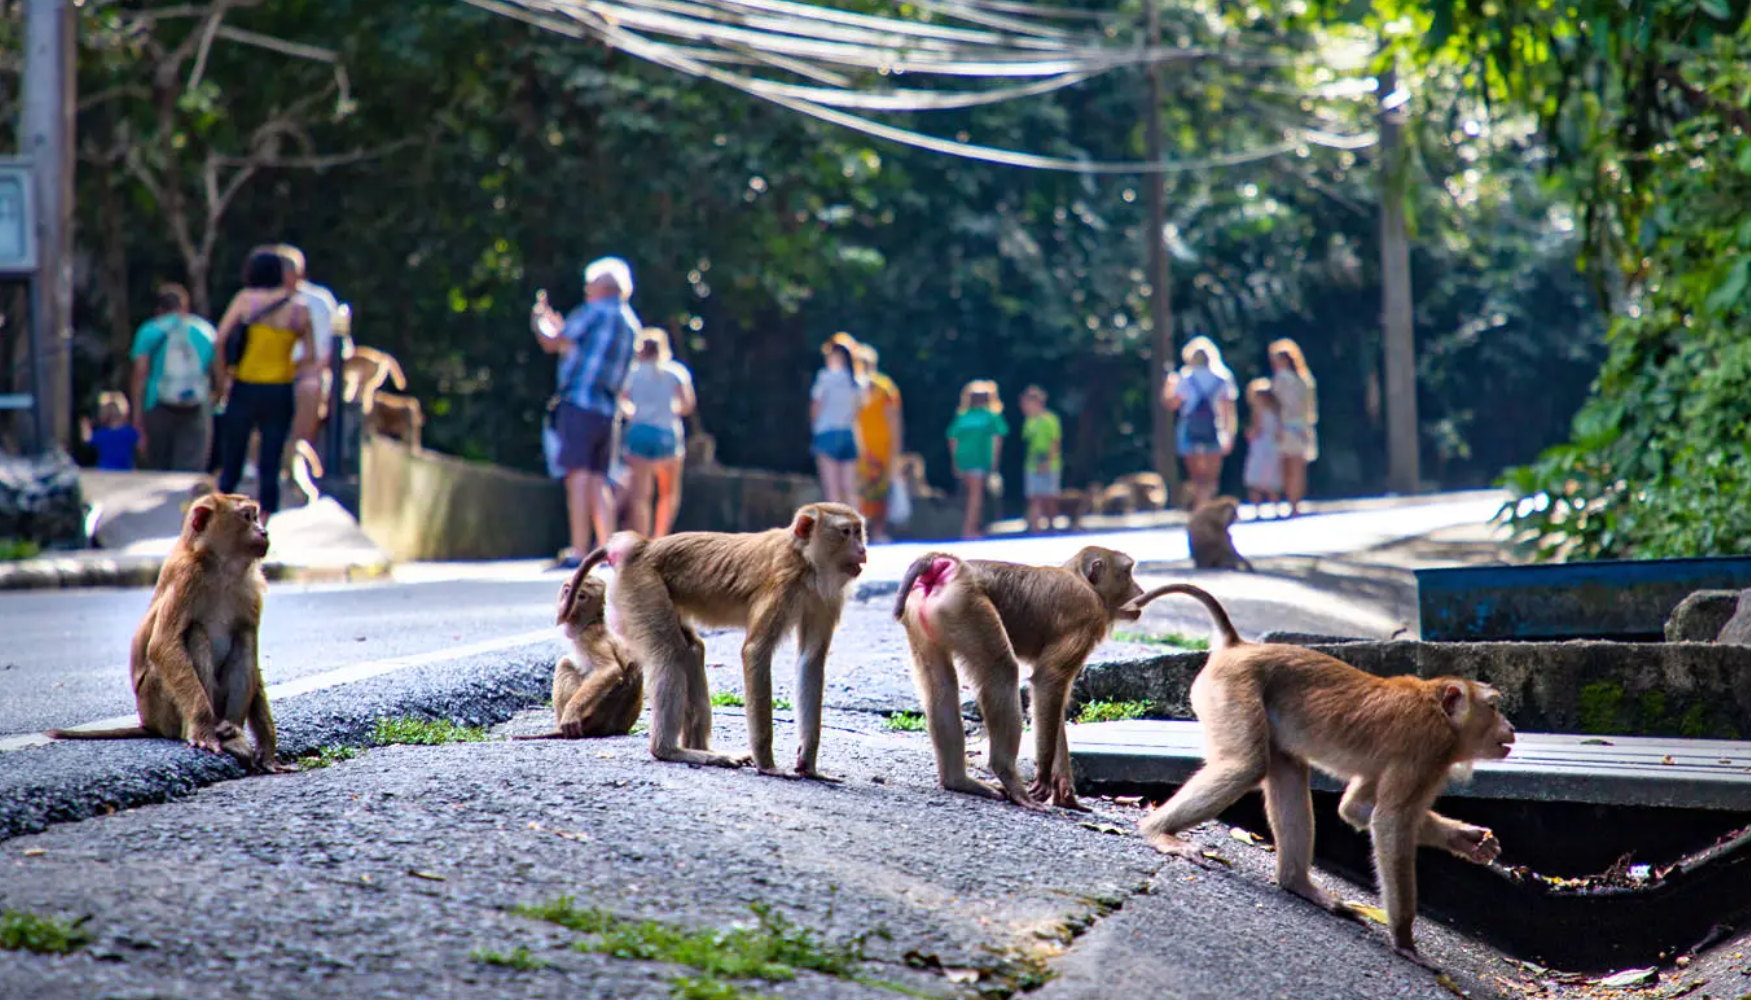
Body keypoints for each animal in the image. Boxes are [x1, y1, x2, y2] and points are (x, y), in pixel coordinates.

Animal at [45, 493, 294, 774]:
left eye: (256, 516)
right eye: (247, 517)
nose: (264, 531)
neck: (220, 567)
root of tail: (148, 722)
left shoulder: (250, 587)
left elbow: (249, 643)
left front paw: (268, 748)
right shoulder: (186, 577)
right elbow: (163, 644)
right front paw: (203, 729)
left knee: (244, 638)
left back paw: (232, 730)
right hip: (158, 704)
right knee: (195, 634)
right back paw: (209, 731)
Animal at [514, 560, 647, 739]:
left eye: (581, 596)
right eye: (567, 591)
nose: (566, 606)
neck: (590, 622)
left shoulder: (589, 639)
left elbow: (610, 670)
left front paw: (571, 713)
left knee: (564, 664)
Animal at [581, 504, 868, 777]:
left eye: (858, 531)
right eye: (846, 532)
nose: (863, 550)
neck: (805, 561)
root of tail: (642, 546)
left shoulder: (825, 598)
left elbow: (811, 660)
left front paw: (808, 764)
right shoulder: (782, 586)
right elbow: (756, 651)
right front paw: (767, 765)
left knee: (691, 650)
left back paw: (702, 750)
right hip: (642, 586)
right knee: (670, 655)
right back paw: (669, 750)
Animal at [889, 546, 1148, 812]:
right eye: (1127, 572)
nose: (1140, 592)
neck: (1082, 580)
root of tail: (951, 564)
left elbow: (1050, 698)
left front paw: (1065, 793)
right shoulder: (1087, 616)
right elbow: (1049, 679)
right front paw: (1044, 778)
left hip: (926, 617)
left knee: (941, 686)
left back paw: (958, 781)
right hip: (966, 606)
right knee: (1002, 670)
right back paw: (1008, 776)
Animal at [1134, 581, 1519, 966]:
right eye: (1493, 706)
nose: (1511, 727)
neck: (1441, 715)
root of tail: (1239, 646)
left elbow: (1356, 810)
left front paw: (1467, 840)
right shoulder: (1426, 752)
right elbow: (1390, 822)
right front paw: (1404, 940)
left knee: (1288, 771)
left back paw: (1297, 883)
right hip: (1231, 690)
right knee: (1246, 766)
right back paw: (1156, 831)